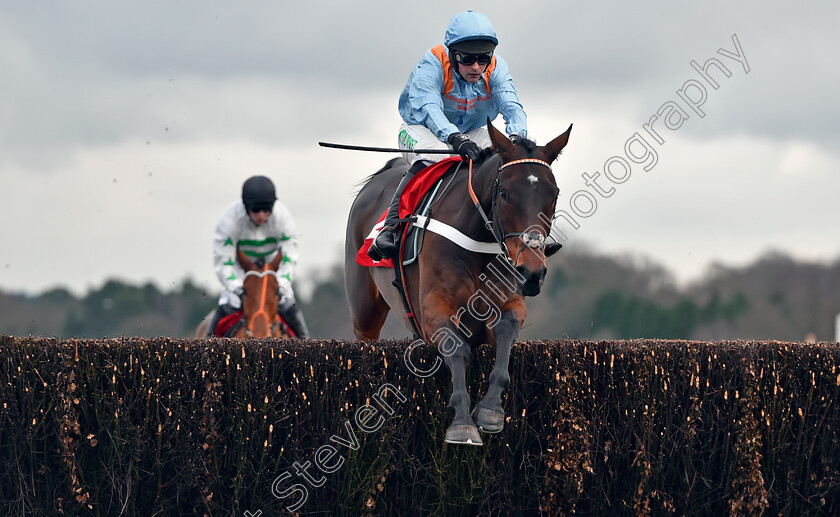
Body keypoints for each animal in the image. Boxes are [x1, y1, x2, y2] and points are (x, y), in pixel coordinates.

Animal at [342, 118, 572, 444]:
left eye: (554, 194)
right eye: (505, 193)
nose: (532, 272)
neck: (476, 239)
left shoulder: (511, 302)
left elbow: (506, 332)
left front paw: (490, 412)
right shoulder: (434, 309)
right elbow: (458, 349)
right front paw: (463, 424)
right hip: (364, 310)